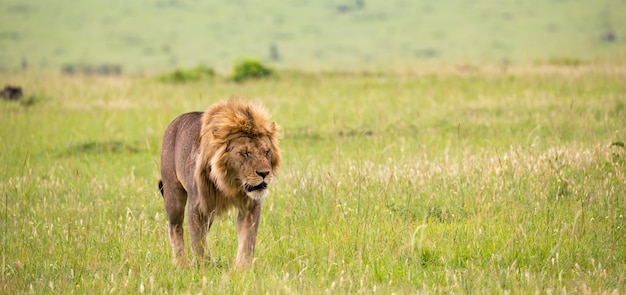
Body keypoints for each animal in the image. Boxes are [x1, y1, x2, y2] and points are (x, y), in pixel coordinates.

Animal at [158, 100, 280, 270]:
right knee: (175, 227)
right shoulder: (197, 206)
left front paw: (243, 269)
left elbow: (248, 239)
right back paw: (181, 263)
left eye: (267, 151)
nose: (264, 173)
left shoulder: (250, 206)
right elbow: (198, 242)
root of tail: (174, 122)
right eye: (245, 153)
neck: (232, 182)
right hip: (173, 194)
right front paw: (204, 267)